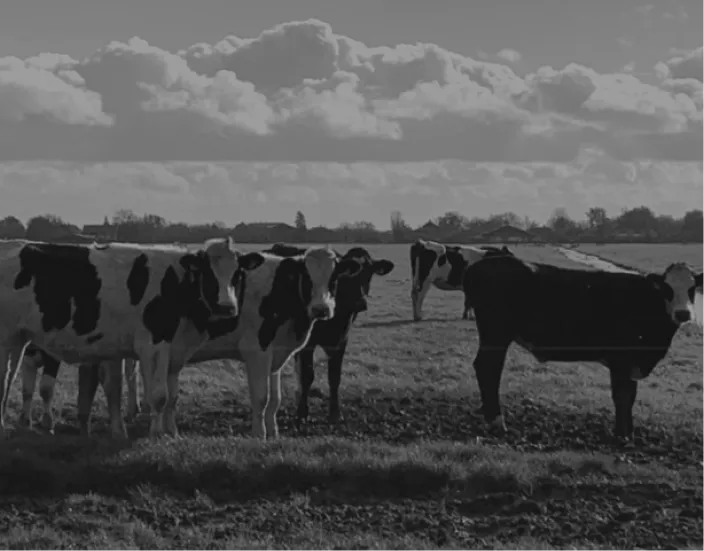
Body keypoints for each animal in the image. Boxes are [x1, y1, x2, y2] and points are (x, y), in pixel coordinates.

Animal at [0, 237, 265, 440]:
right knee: (4, 379)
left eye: (238, 274)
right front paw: (157, 435)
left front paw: (173, 433)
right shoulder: (154, 344)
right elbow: (159, 396)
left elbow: (173, 397)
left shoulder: (175, 350)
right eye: (207, 273)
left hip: (18, 339)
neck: (175, 285)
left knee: (9, 378)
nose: (227, 307)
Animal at [29, 246, 362, 440]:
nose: (322, 309)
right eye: (307, 276)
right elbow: (261, 396)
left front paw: (275, 432)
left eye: (334, 278)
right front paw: (260, 435)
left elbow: (277, 399)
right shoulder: (257, 351)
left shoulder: (277, 354)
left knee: (109, 385)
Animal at [262, 243, 395, 425]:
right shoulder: (308, 344)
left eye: (369, 273)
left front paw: (334, 413)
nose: (360, 302)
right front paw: (302, 412)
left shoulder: (340, 341)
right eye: (346, 277)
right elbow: (307, 375)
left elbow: (334, 377)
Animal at [462, 253, 704, 441]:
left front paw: (629, 432)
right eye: (667, 288)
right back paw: (497, 422)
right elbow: (622, 396)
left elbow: (630, 396)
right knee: (488, 369)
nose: (683, 313)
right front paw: (621, 434)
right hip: (496, 335)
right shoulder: (620, 360)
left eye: (692, 288)